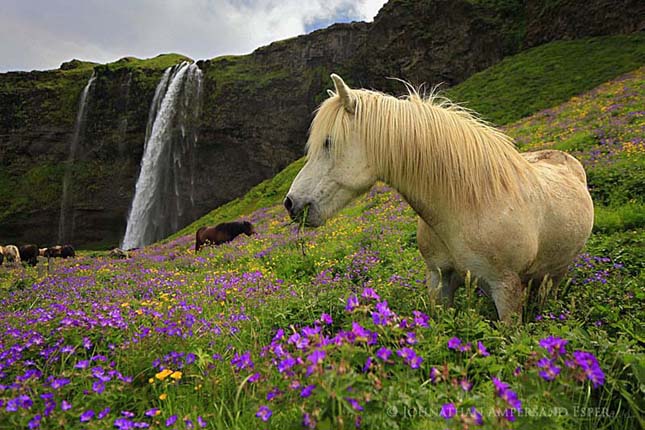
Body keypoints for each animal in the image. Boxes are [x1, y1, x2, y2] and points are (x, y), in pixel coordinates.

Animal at [286, 74, 592, 322]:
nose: (291, 204)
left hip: (556, 273)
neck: (466, 206)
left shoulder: (506, 289)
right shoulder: (439, 279)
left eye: (328, 142)